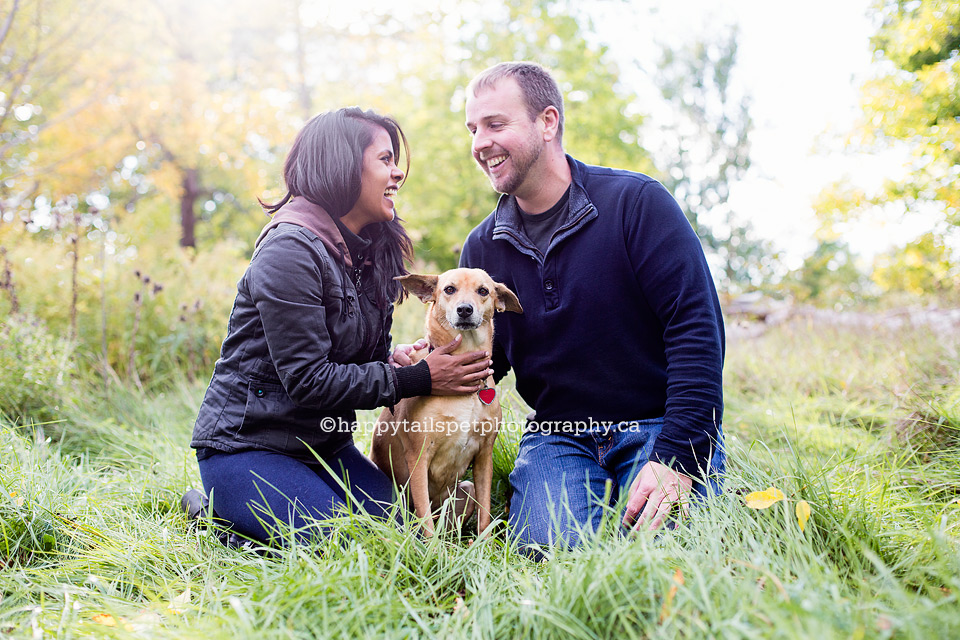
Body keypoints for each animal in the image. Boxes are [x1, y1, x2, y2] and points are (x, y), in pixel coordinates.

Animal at [374, 268, 524, 536]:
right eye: (449, 289)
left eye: (483, 291)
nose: (464, 309)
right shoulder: (418, 457)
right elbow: (425, 519)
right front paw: (431, 548)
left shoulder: (484, 456)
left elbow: (484, 512)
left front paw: (483, 544)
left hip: (463, 491)